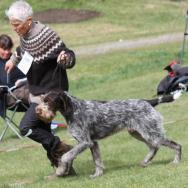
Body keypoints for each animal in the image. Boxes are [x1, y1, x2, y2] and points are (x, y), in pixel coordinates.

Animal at [35, 91, 182, 178]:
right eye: (42, 100)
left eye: (48, 101)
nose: (37, 111)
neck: (74, 109)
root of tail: (148, 102)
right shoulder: (92, 143)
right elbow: (97, 160)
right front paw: (97, 174)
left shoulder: (85, 142)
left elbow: (65, 156)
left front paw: (60, 170)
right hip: (138, 133)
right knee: (154, 147)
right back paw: (145, 161)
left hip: (151, 132)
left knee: (175, 145)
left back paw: (176, 161)